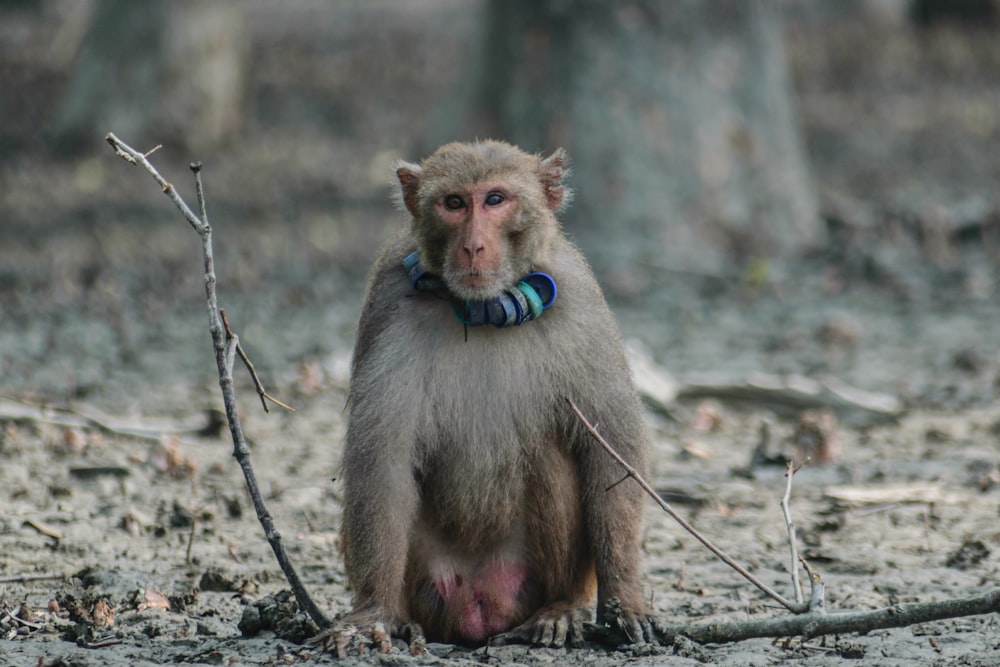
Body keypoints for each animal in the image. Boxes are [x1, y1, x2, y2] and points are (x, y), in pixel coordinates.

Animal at [336, 142, 656, 652]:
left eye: (495, 199)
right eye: (453, 203)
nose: (473, 246)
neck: (484, 309)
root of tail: (479, 606)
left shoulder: (581, 300)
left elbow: (611, 450)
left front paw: (624, 600)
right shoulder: (387, 299)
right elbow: (381, 462)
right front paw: (373, 613)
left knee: (549, 452)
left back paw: (560, 608)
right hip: (431, 578)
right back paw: (406, 620)